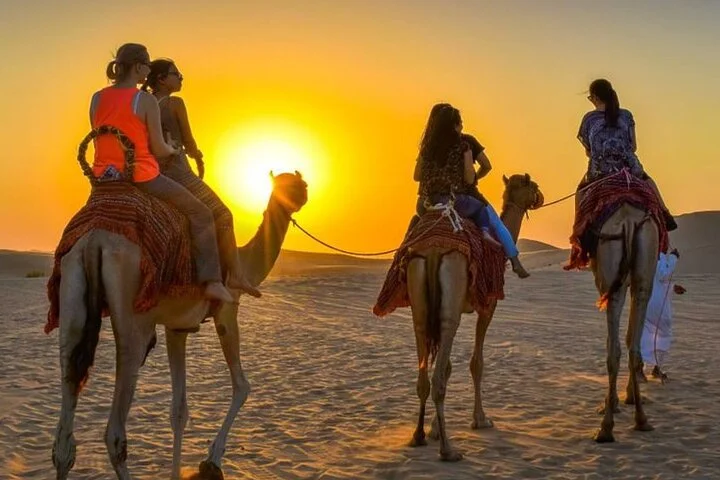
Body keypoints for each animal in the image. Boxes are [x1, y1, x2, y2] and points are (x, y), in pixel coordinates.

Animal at [52, 171, 308, 480]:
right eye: (297, 186)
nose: (301, 198)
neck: (245, 263)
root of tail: (94, 240)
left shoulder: (177, 329)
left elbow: (178, 411)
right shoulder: (227, 310)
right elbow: (241, 386)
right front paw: (212, 460)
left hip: (71, 293)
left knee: (64, 438)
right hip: (133, 316)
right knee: (114, 434)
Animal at [406, 174, 544, 461]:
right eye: (532, 186)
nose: (541, 197)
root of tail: (433, 250)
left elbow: (449, 366)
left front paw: (434, 429)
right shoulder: (487, 306)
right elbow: (476, 363)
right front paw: (480, 419)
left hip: (421, 305)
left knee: (425, 369)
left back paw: (419, 436)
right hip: (451, 302)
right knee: (438, 375)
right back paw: (448, 450)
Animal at [590, 203, 658, 443]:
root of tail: (628, 223)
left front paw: (615, 402)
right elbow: (631, 336)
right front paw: (629, 397)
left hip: (613, 282)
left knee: (614, 349)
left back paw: (605, 428)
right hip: (643, 279)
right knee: (632, 346)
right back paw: (641, 419)